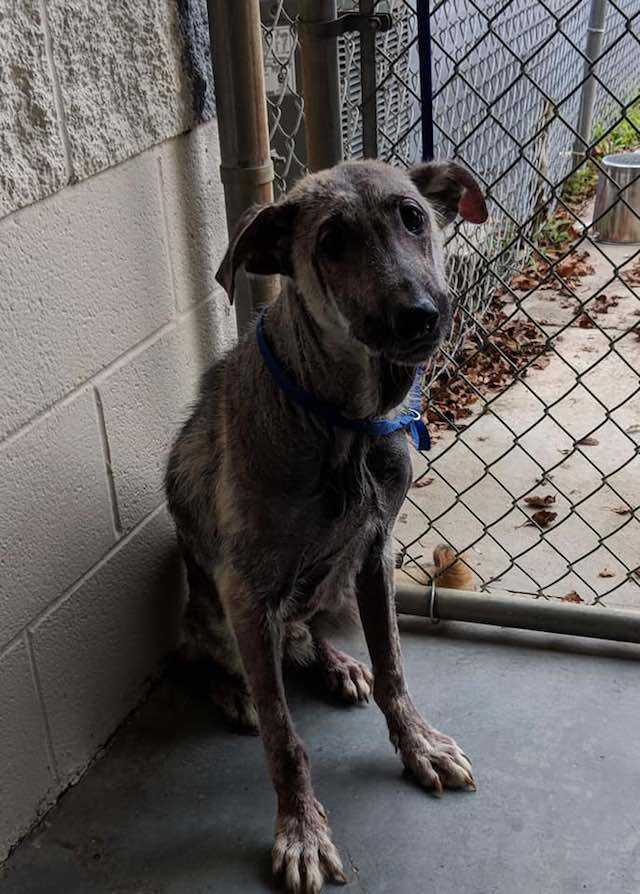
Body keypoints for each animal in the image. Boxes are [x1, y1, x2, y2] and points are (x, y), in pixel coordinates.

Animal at [164, 158, 484, 892]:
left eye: (413, 217)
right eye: (332, 242)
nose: (420, 316)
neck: (344, 423)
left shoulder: (374, 553)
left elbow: (394, 667)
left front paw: (417, 745)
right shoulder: (247, 593)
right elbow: (285, 738)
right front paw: (301, 831)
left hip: (329, 586)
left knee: (305, 630)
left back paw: (334, 662)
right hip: (215, 618)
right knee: (206, 661)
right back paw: (236, 692)